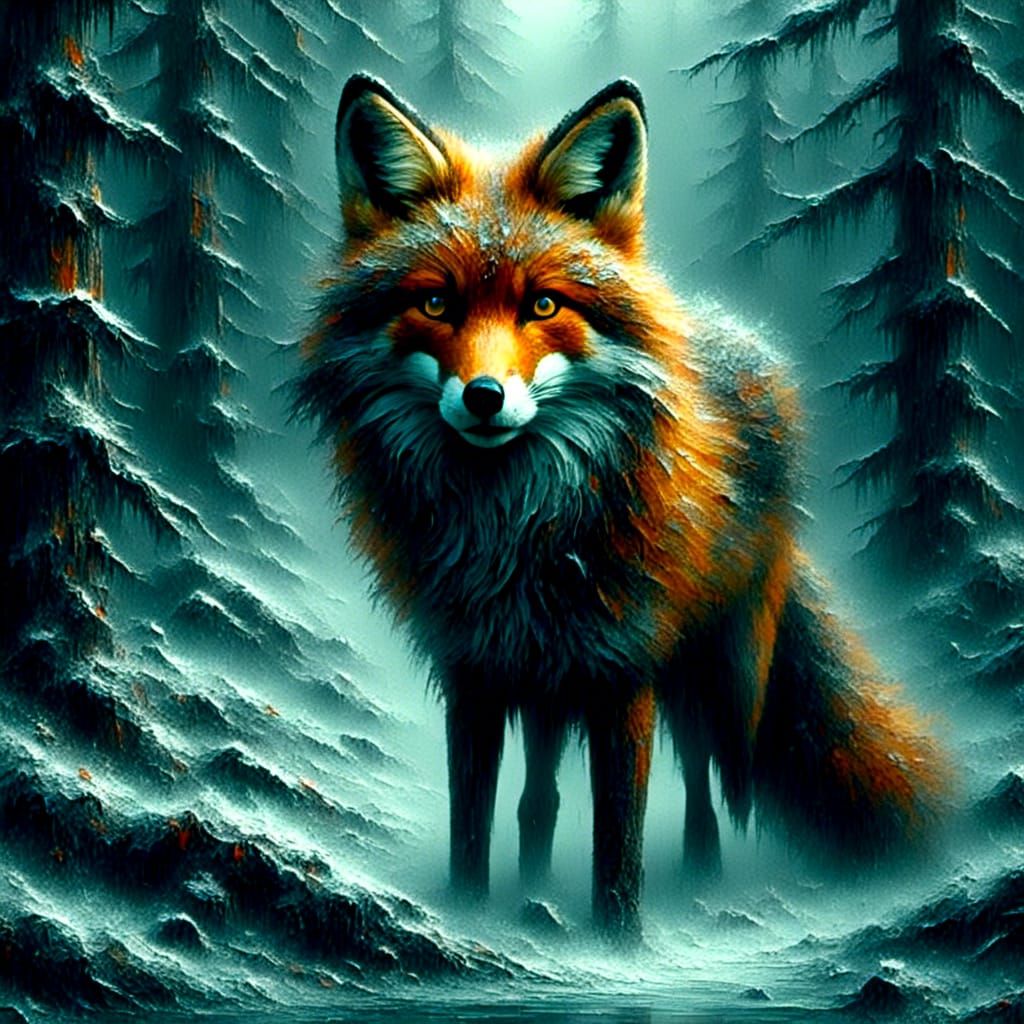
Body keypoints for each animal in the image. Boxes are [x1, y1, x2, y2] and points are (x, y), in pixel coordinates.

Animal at [295, 74, 947, 939]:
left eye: (543, 307)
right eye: (435, 305)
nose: (483, 397)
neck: (517, 529)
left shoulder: (624, 668)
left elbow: (620, 845)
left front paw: (619, 943)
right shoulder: (475, 673)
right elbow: (473, 825)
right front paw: (470, 913)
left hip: (711, 672)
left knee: (706, 783)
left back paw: (703, 874)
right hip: (552, 685)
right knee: (540, 798)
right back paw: (537, 879)